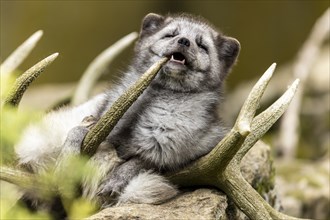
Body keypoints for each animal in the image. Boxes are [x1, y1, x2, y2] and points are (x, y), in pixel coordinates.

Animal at [14, 12, 240, 211]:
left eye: (202, 45)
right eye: (170, 35)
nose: (184, 41)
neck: (154, 95)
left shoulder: (189, 149)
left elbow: (142, 161)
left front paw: (115, 180)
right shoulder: (102, 126)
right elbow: (78, 131)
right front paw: (68, 157)